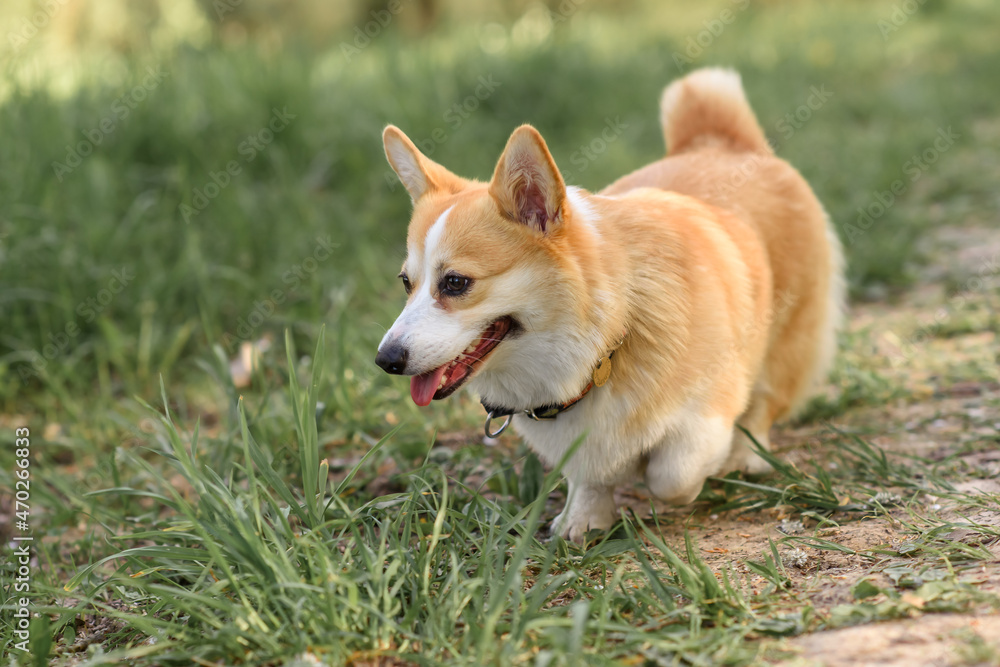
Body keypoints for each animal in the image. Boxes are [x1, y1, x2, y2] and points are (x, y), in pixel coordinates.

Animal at [376, 68, 844, 544]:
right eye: (406, 282)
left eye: (455, 282)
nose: (386, 360)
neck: (607, 338)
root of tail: (722, 143)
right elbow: (589, 476)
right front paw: (583, 520)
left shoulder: (707, 409)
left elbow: (672, 476)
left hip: (788, 335)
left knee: (767, 399)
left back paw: (745, 455)